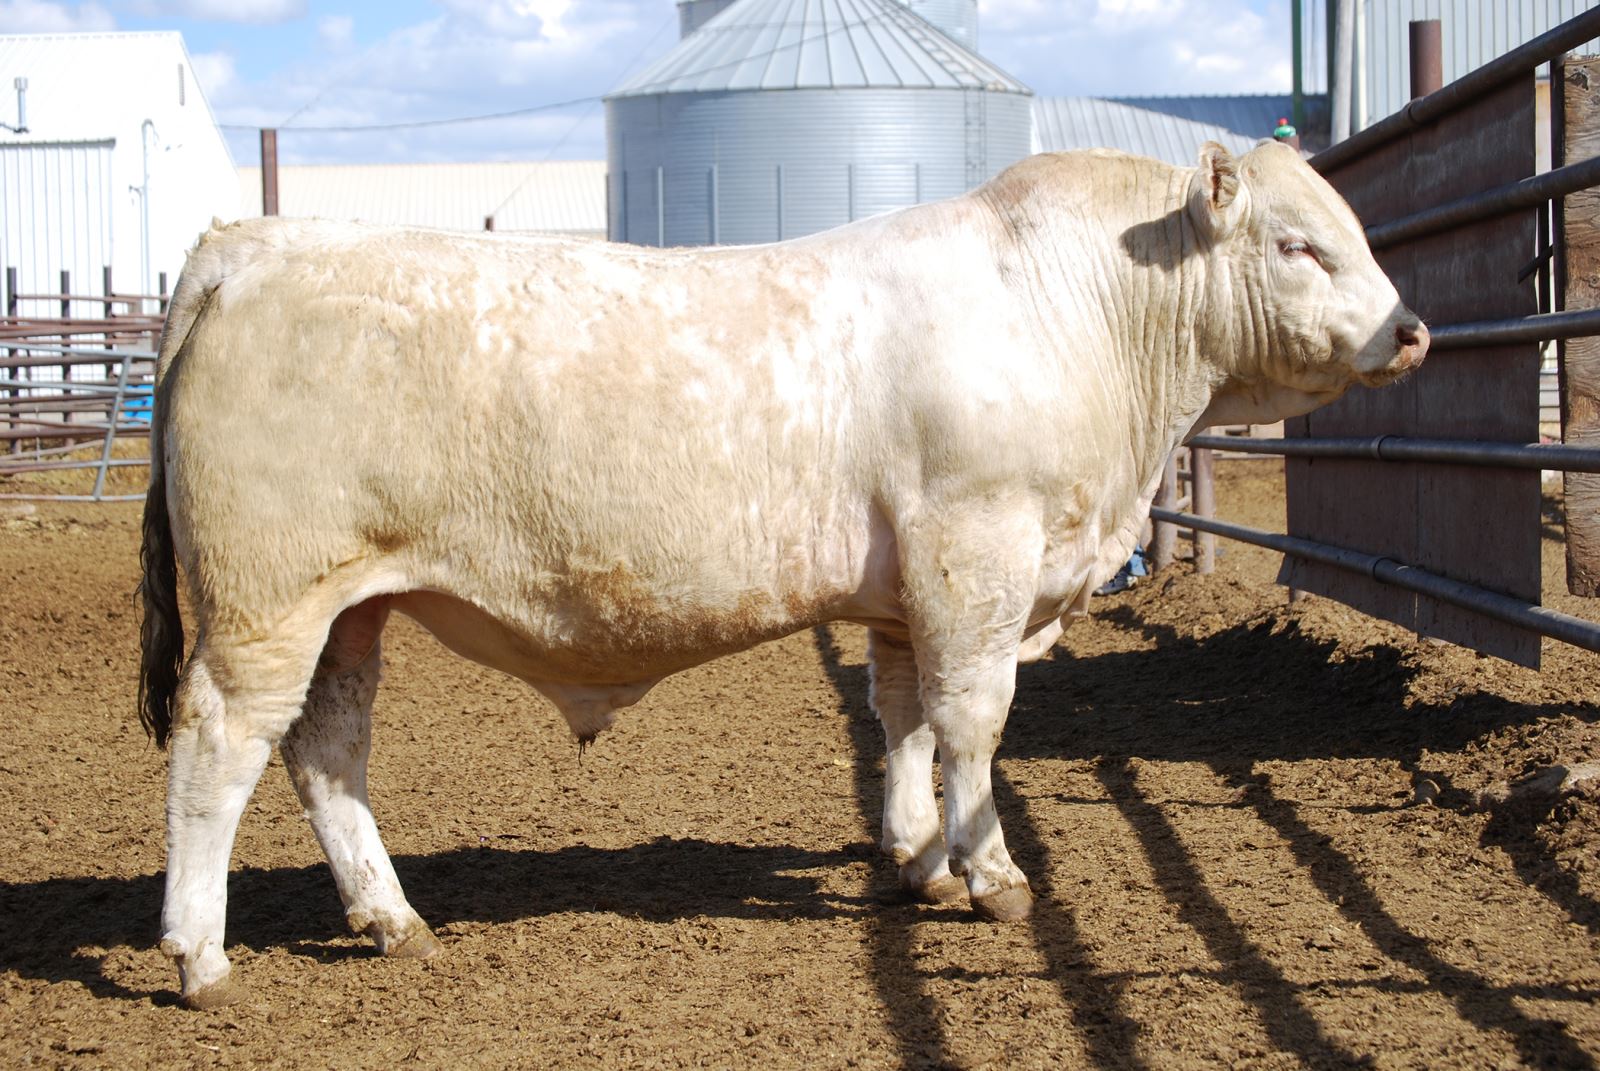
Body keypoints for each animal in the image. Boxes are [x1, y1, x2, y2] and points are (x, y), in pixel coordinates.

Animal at [139, 140, 1427, 1008]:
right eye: (1298, 244)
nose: (1409, 330)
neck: (1080, 314)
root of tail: (256, 242)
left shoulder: (910, 592)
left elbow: (903, 720)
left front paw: (919, 860)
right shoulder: (978, 553)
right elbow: (973, 720)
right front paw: (992, 872)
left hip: (350, 609)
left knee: (325, 749)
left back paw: (391, 917)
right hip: (265, 601)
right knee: (220, 744)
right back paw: (200, 953)